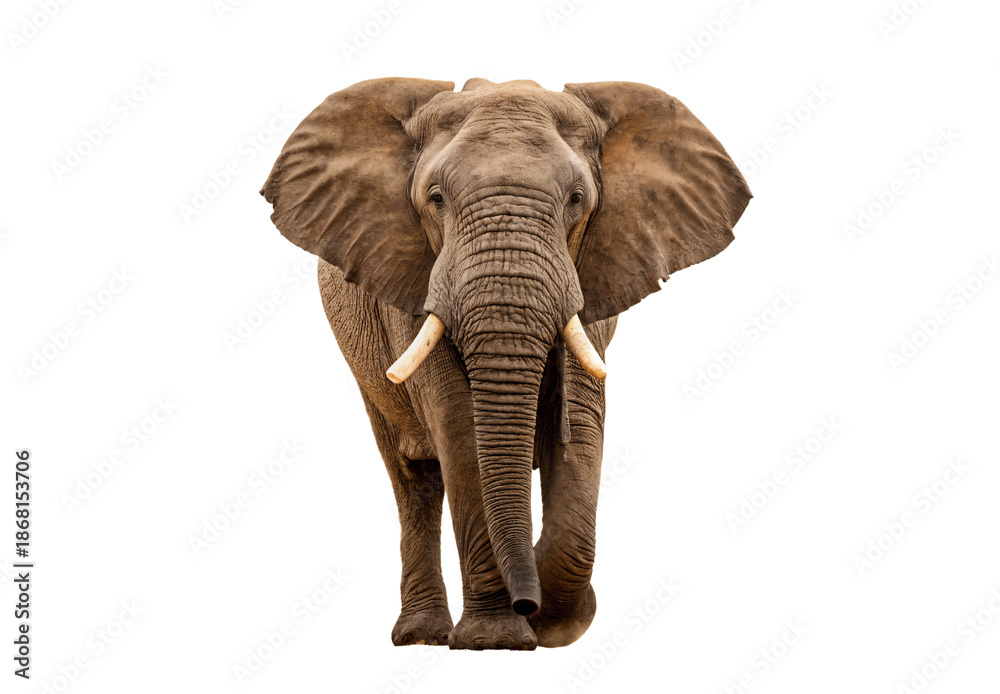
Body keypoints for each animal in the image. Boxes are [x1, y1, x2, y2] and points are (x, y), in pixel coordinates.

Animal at [260, 77, 750, 650]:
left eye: (578, 200)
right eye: (436, 199)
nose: (527, 603)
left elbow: (583, 425)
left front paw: (549, 618)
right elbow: (458, 424)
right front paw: (497, 639)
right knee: (412, 478)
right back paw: (423, 636)